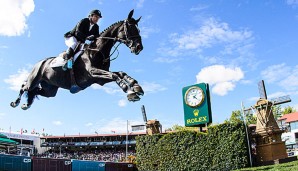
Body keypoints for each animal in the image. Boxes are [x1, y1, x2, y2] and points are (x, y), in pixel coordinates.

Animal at [9, 9, 144, 109]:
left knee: (35, 91)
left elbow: (120, 73)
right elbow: (115, 75)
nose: (139, 47)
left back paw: (27, 104)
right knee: (24, 86)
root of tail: (39, 63)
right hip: (34, 79)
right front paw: (130, 92)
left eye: (138, 29)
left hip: (50, 90)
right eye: (130, 28)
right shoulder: (92, 72)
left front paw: (136, 87)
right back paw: (15, 102)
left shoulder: (99, 79)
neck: (98, 50)